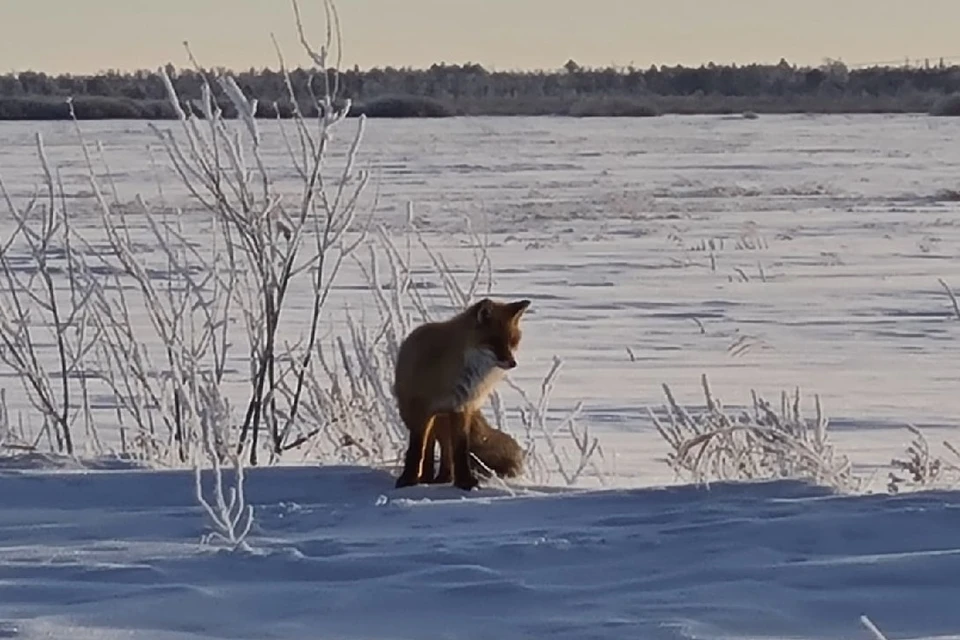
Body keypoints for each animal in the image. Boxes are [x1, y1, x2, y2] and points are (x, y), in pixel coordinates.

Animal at [394, 298, 536, 490]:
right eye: (494, 341)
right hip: (416, 415)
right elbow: (416, 450)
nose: (512, 363)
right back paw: (426, 477)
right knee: (428, 446)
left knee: (446, 450)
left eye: (513, 341)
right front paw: (407, 481)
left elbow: (460, 450)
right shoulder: (421, 409)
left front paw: (465, 482)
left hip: (444, 421)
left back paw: (443, 477)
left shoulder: (461, 408)